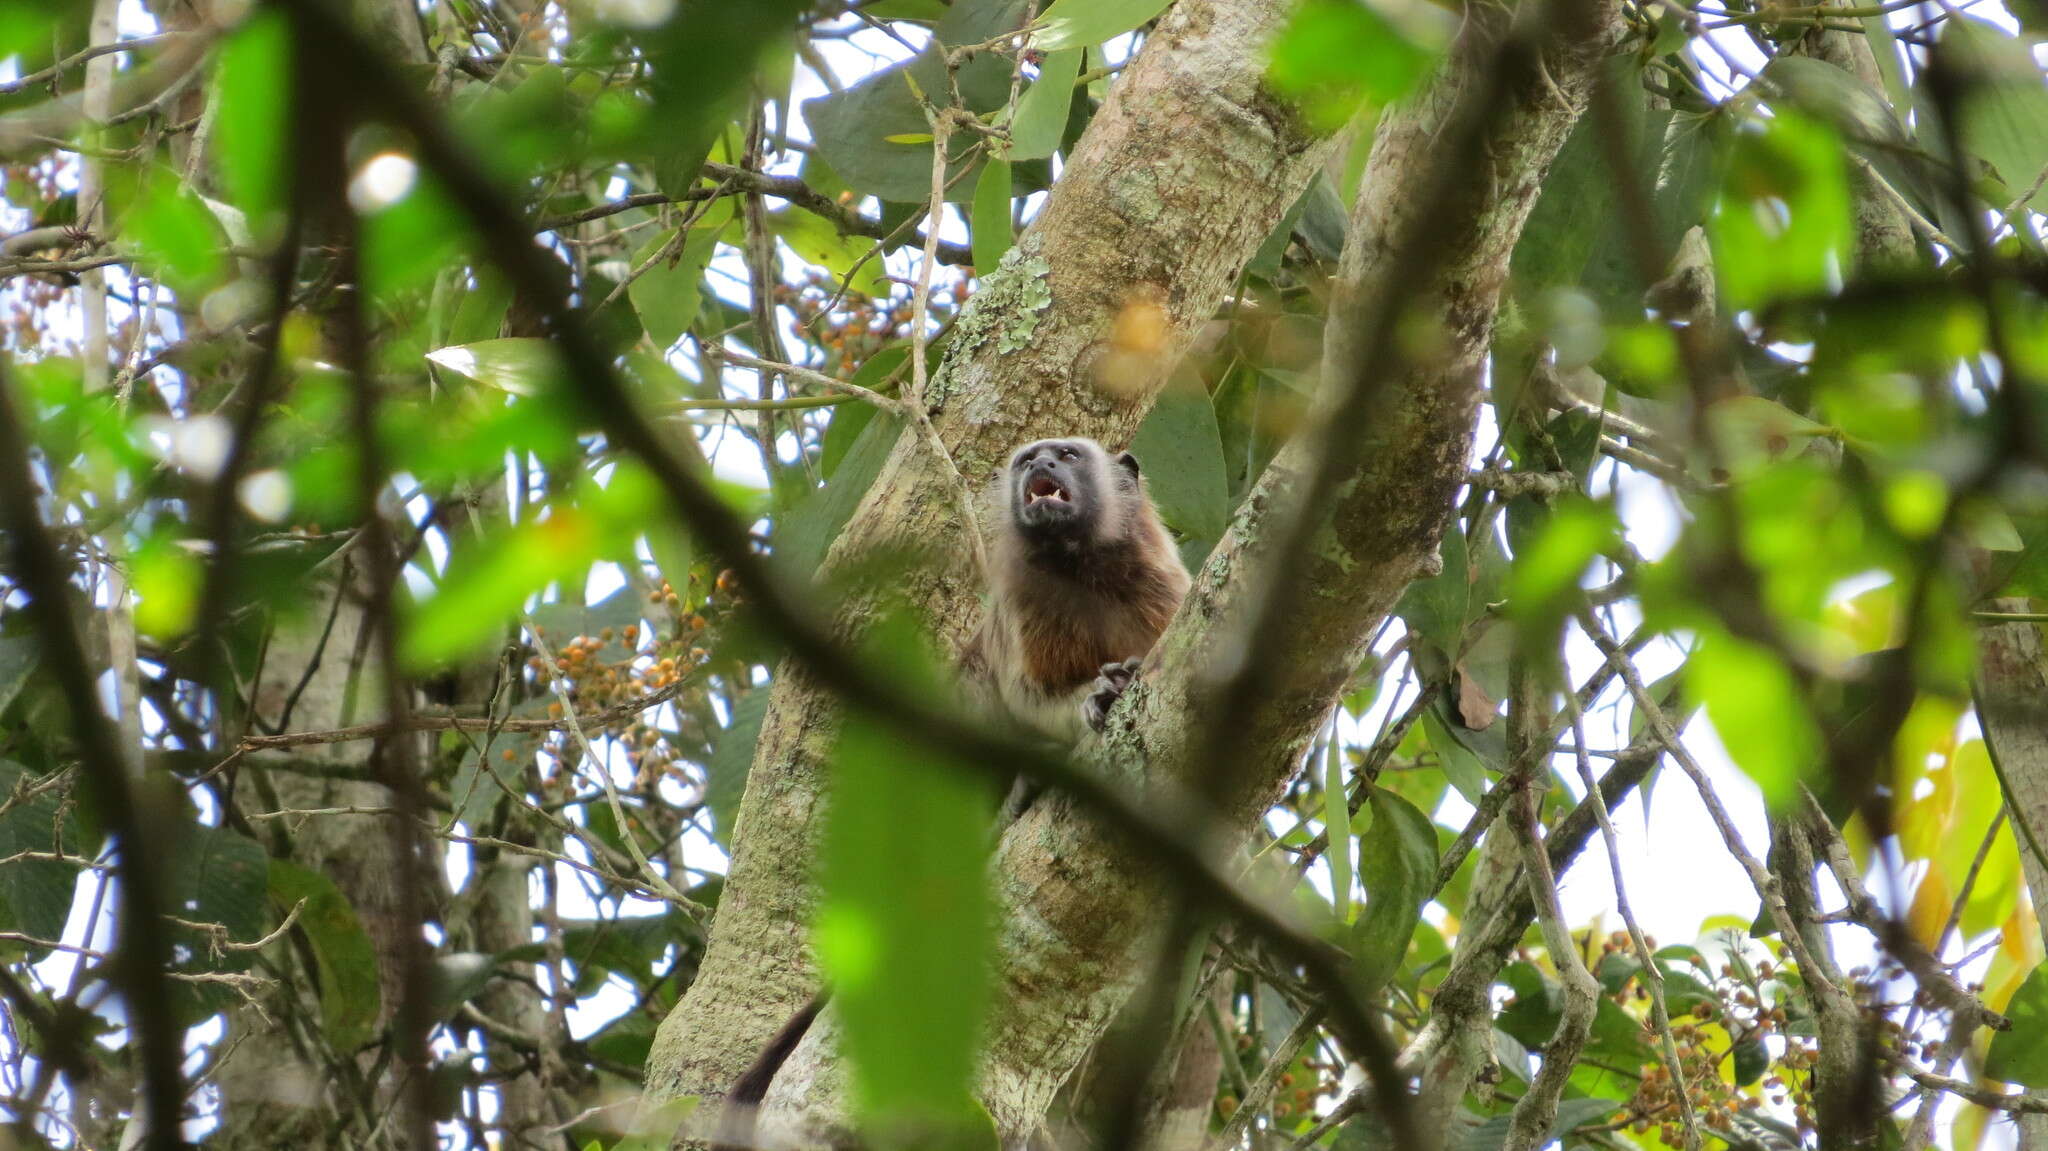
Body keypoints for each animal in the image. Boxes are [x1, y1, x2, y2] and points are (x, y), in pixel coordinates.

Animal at [720, 432, 1196, 1138]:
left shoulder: (1165, 587)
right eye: (1029, 459)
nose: (1039, 465)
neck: (1083, 568)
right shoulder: (1024, 604)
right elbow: (1028, 697)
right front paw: (1097, 697)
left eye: (1067, 456)